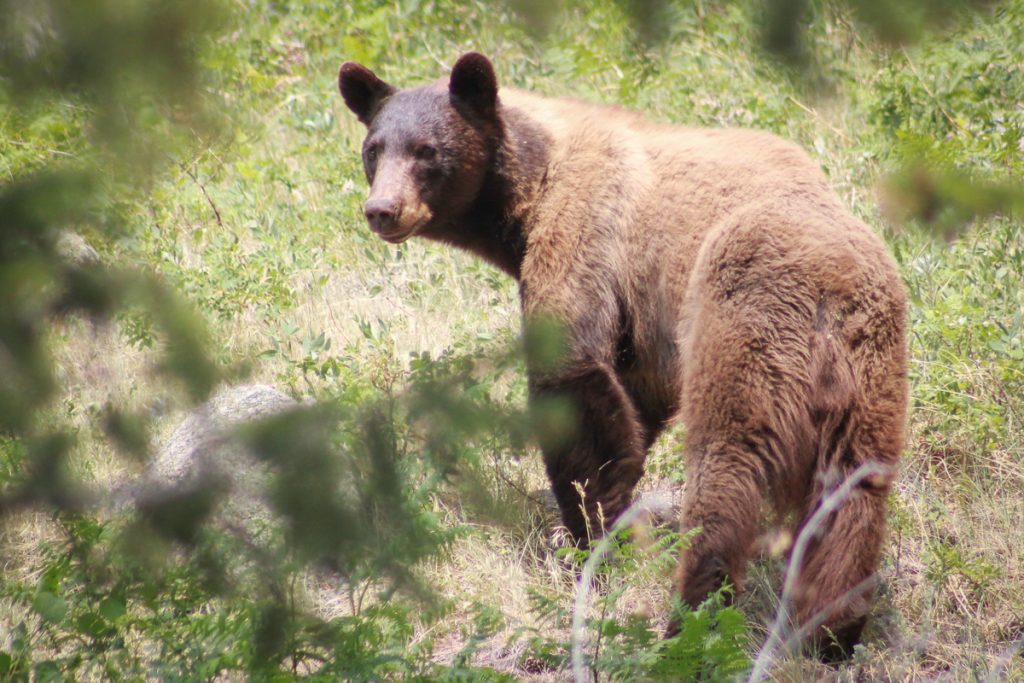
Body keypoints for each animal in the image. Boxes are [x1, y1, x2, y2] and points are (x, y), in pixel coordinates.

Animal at [337, 52, 908, 659]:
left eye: (427, 151)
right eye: (374, 148)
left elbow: (573, 379)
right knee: (851, 497)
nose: (382, 210)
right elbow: (630, 401)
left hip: (745, 324)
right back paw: (830, 631)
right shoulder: (649, 328)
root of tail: (832, 295)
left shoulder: (588, 231)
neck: (531, 181)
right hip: (870, 375)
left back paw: (692, 624)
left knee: (727, 473)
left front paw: (591, 540)